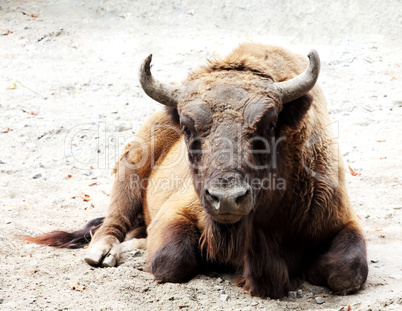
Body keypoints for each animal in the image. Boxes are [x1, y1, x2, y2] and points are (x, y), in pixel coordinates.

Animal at [25, 42, 370, 298]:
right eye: (189, 128)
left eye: (269, 124)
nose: (227, 198)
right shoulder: (180, 210)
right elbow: (170, 260)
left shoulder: (340, 217)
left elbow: (348, 270)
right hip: (131, 167)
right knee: (113, 222)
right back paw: (106, 252)